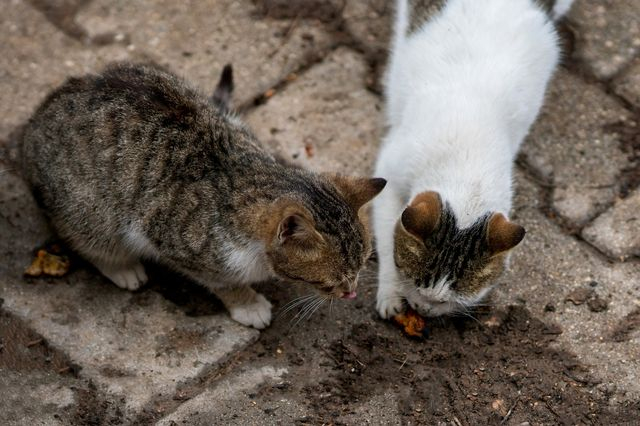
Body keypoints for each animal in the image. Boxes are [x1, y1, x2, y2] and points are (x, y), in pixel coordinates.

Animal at [372, 0, 572, 320]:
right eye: (415, 284)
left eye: (446, 302)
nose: (423, 310)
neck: (467, 173)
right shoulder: (390, 170)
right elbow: (386, 234)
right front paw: (390, 292)